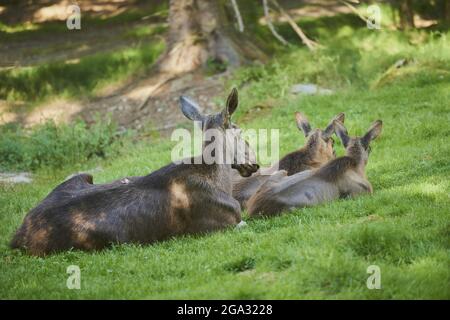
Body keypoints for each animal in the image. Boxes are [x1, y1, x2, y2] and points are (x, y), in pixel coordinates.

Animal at [10, 88, 258, 258]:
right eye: (240, 131)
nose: (254, 163)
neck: (218, 178)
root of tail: (16, 238)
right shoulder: (221, 225)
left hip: (81, 176)